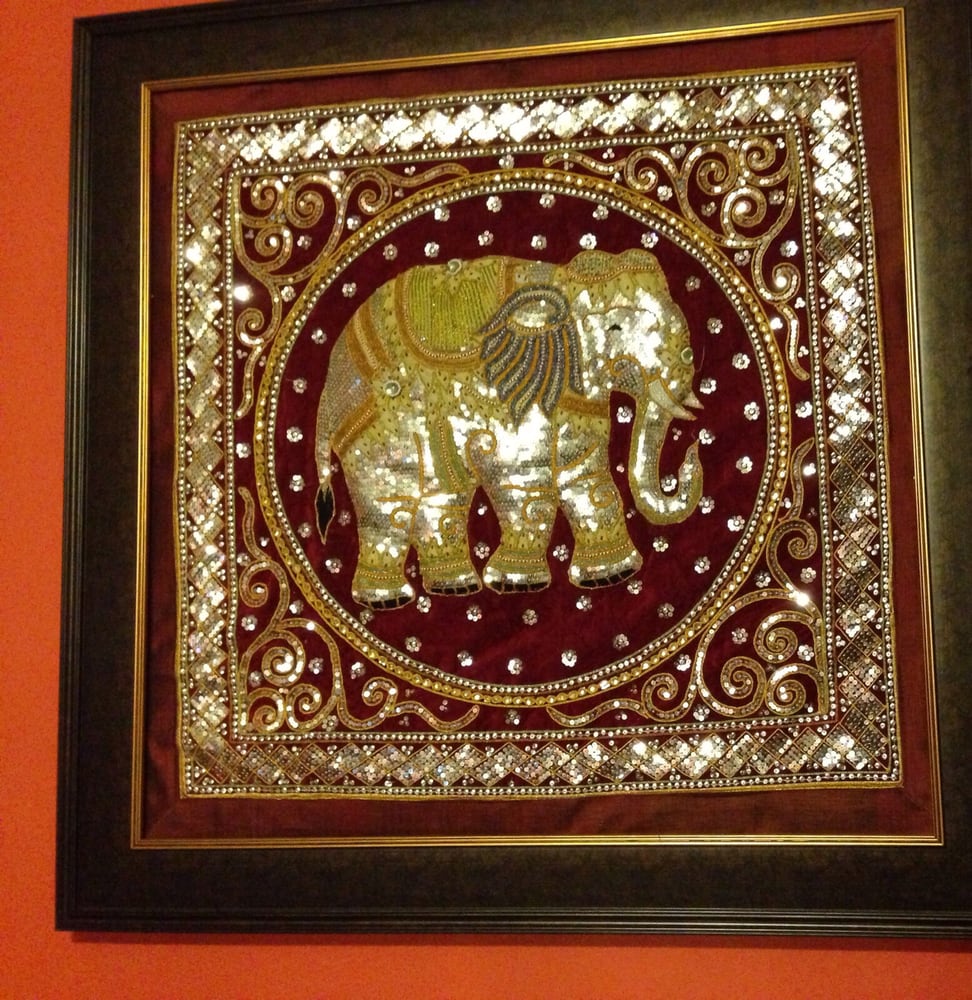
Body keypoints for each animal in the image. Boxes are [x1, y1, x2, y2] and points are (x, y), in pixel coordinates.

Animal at [314, 247, 703, 609]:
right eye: (615, 328)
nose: (690, 456)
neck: (559, 280)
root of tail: (329, 384)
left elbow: (586, 476)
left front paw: (610, 575)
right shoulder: (515, 396)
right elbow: (521, 479)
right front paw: (517, 584)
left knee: (441, 500)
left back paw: (454, 586)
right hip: (376, 423)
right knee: (389, 501)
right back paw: (387, 599)